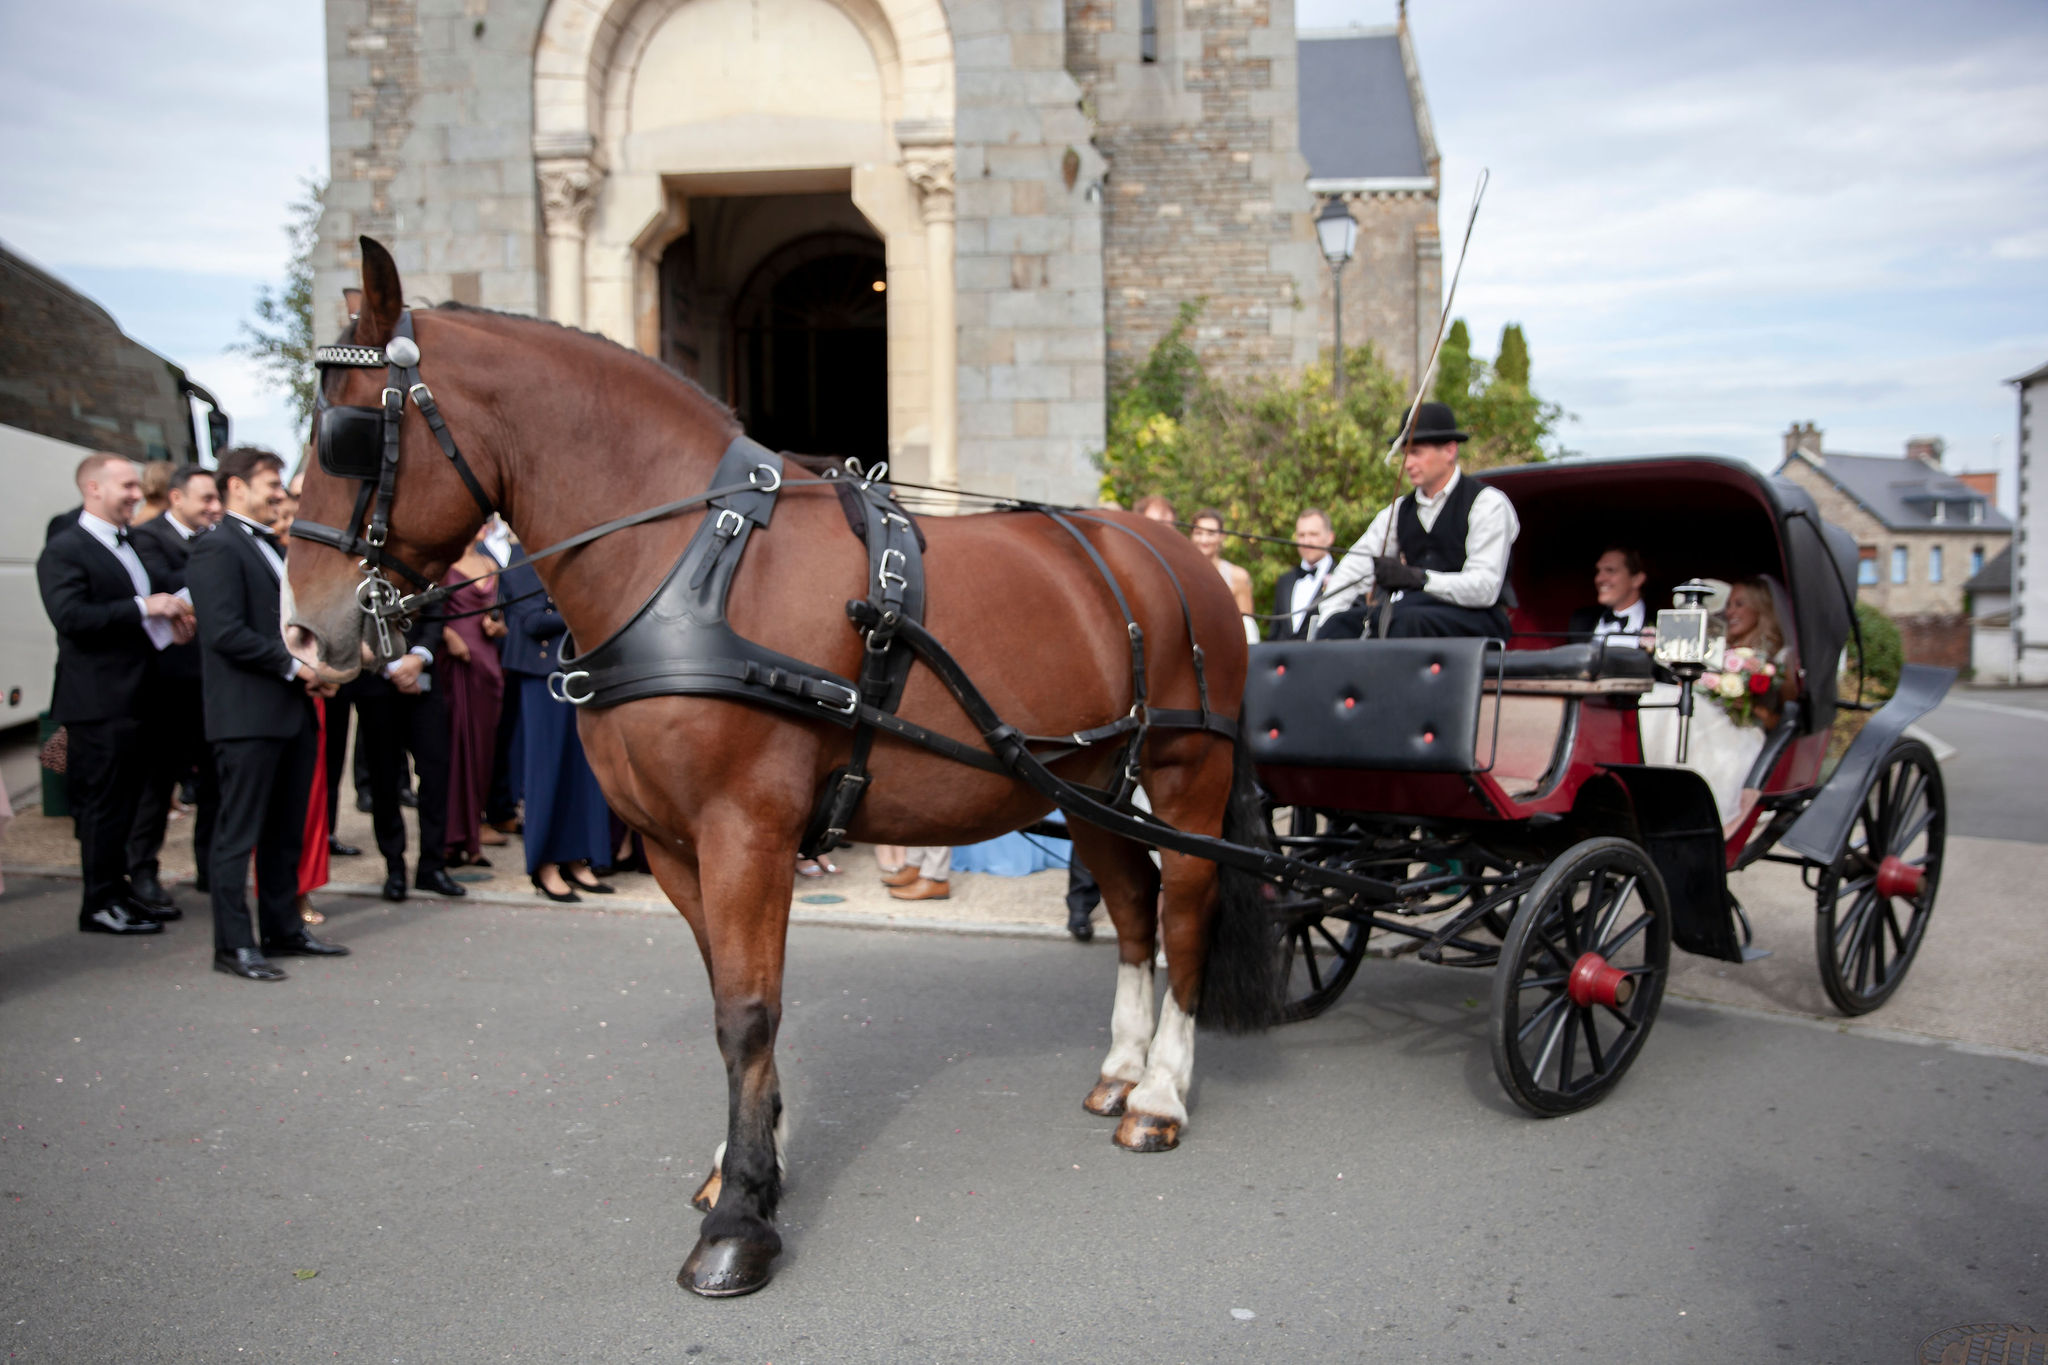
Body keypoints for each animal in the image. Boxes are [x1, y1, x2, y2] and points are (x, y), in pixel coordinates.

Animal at [284, 237, 1277, 1297]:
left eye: (345, 433)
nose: (302, 631)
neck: (689, 562)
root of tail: (1175, 551)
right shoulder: (675, 844)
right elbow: (729, 994)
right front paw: (746, 1162)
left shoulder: (747, 830)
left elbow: (748, 1010)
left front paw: (741, 1219)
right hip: (1090, 787)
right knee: (1133, 909)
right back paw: (1122, 1070)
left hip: (1187, 774)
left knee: (1186, 911)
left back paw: (1162, 1093)